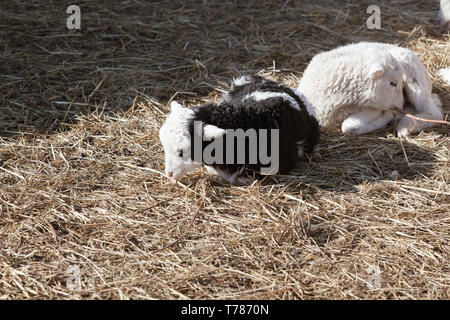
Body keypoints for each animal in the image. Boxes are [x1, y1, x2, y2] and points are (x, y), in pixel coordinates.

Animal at [298, 41, 444, 138]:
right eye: (392, 83)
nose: (401, 104)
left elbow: (348, 126)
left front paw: (386, 115)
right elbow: (348, 127)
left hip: (414, 79)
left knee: (434, 113)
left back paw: (405, 125)